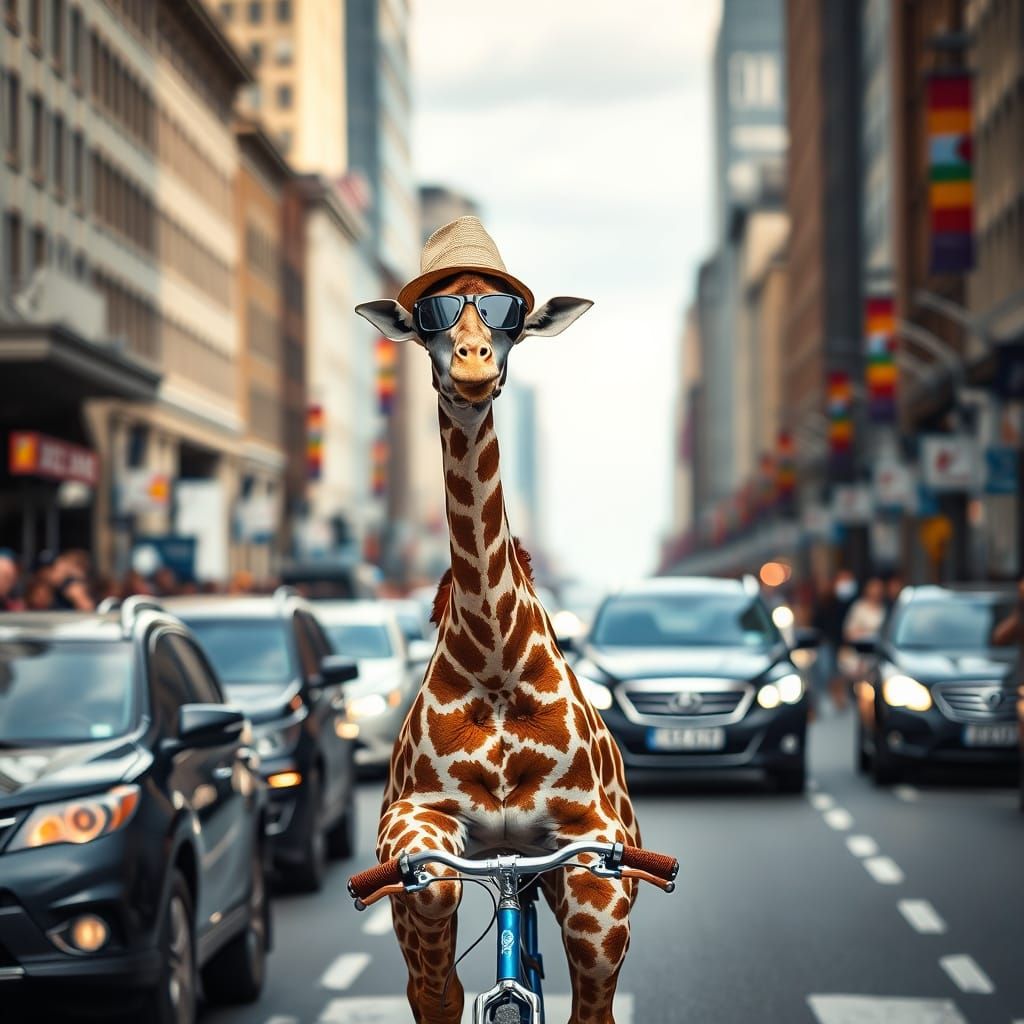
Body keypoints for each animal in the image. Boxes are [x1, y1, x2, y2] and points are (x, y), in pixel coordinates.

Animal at [355, 218, 641, 1024]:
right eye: (433, 318)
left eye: (504, 317)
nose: (473, 362)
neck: (494, 656)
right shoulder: (415, 828)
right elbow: (439, 981)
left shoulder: (594, 856)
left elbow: (592, 999)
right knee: (434, 985)